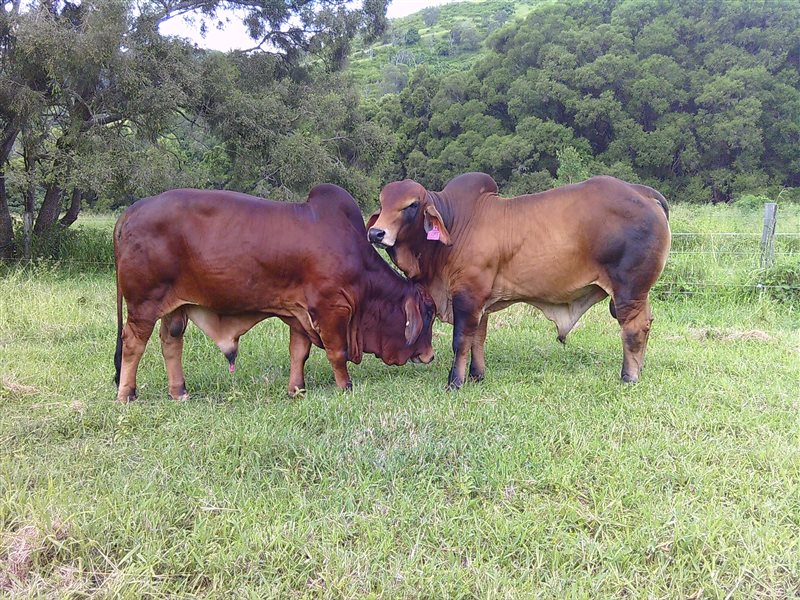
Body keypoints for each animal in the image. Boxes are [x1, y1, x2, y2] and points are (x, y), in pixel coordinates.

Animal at [114, 182, 432, 404]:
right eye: (428, 314)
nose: (429, 356)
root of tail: (130, 211)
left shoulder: (299, 313)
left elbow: (299, 353)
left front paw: (296, 390)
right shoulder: (331, 308)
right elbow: (337, 352)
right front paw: (346, 386)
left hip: (173, 306)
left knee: (170, 341)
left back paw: (179, 392)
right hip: (144, 302)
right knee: (132, 343)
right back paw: (126, 395)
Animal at [368, 173, 668, 390]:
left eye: (412, 205)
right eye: (382, 204)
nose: (375, 233)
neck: (455, 224)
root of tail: (642, 192)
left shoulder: (467, 295)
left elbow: (461, 341)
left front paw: (455, 382)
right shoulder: (482, 301)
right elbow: (478, 338)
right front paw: (477, 376)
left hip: (628, 290)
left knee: (633, 329)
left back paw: (629, 376)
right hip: (639, 293)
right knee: (647, 324)